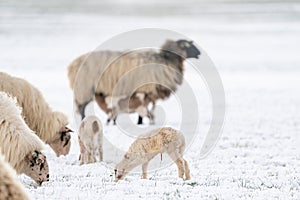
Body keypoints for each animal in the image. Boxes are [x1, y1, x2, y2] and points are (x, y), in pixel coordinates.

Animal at [67, 38, 200, 123]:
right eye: (188, 45)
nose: (199, 53)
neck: (166, 61)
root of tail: (73, 64)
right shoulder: (145, 90)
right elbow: (142, 109)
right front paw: (141, 122)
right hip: (84, 88)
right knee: (82, 107)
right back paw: (84, 120)